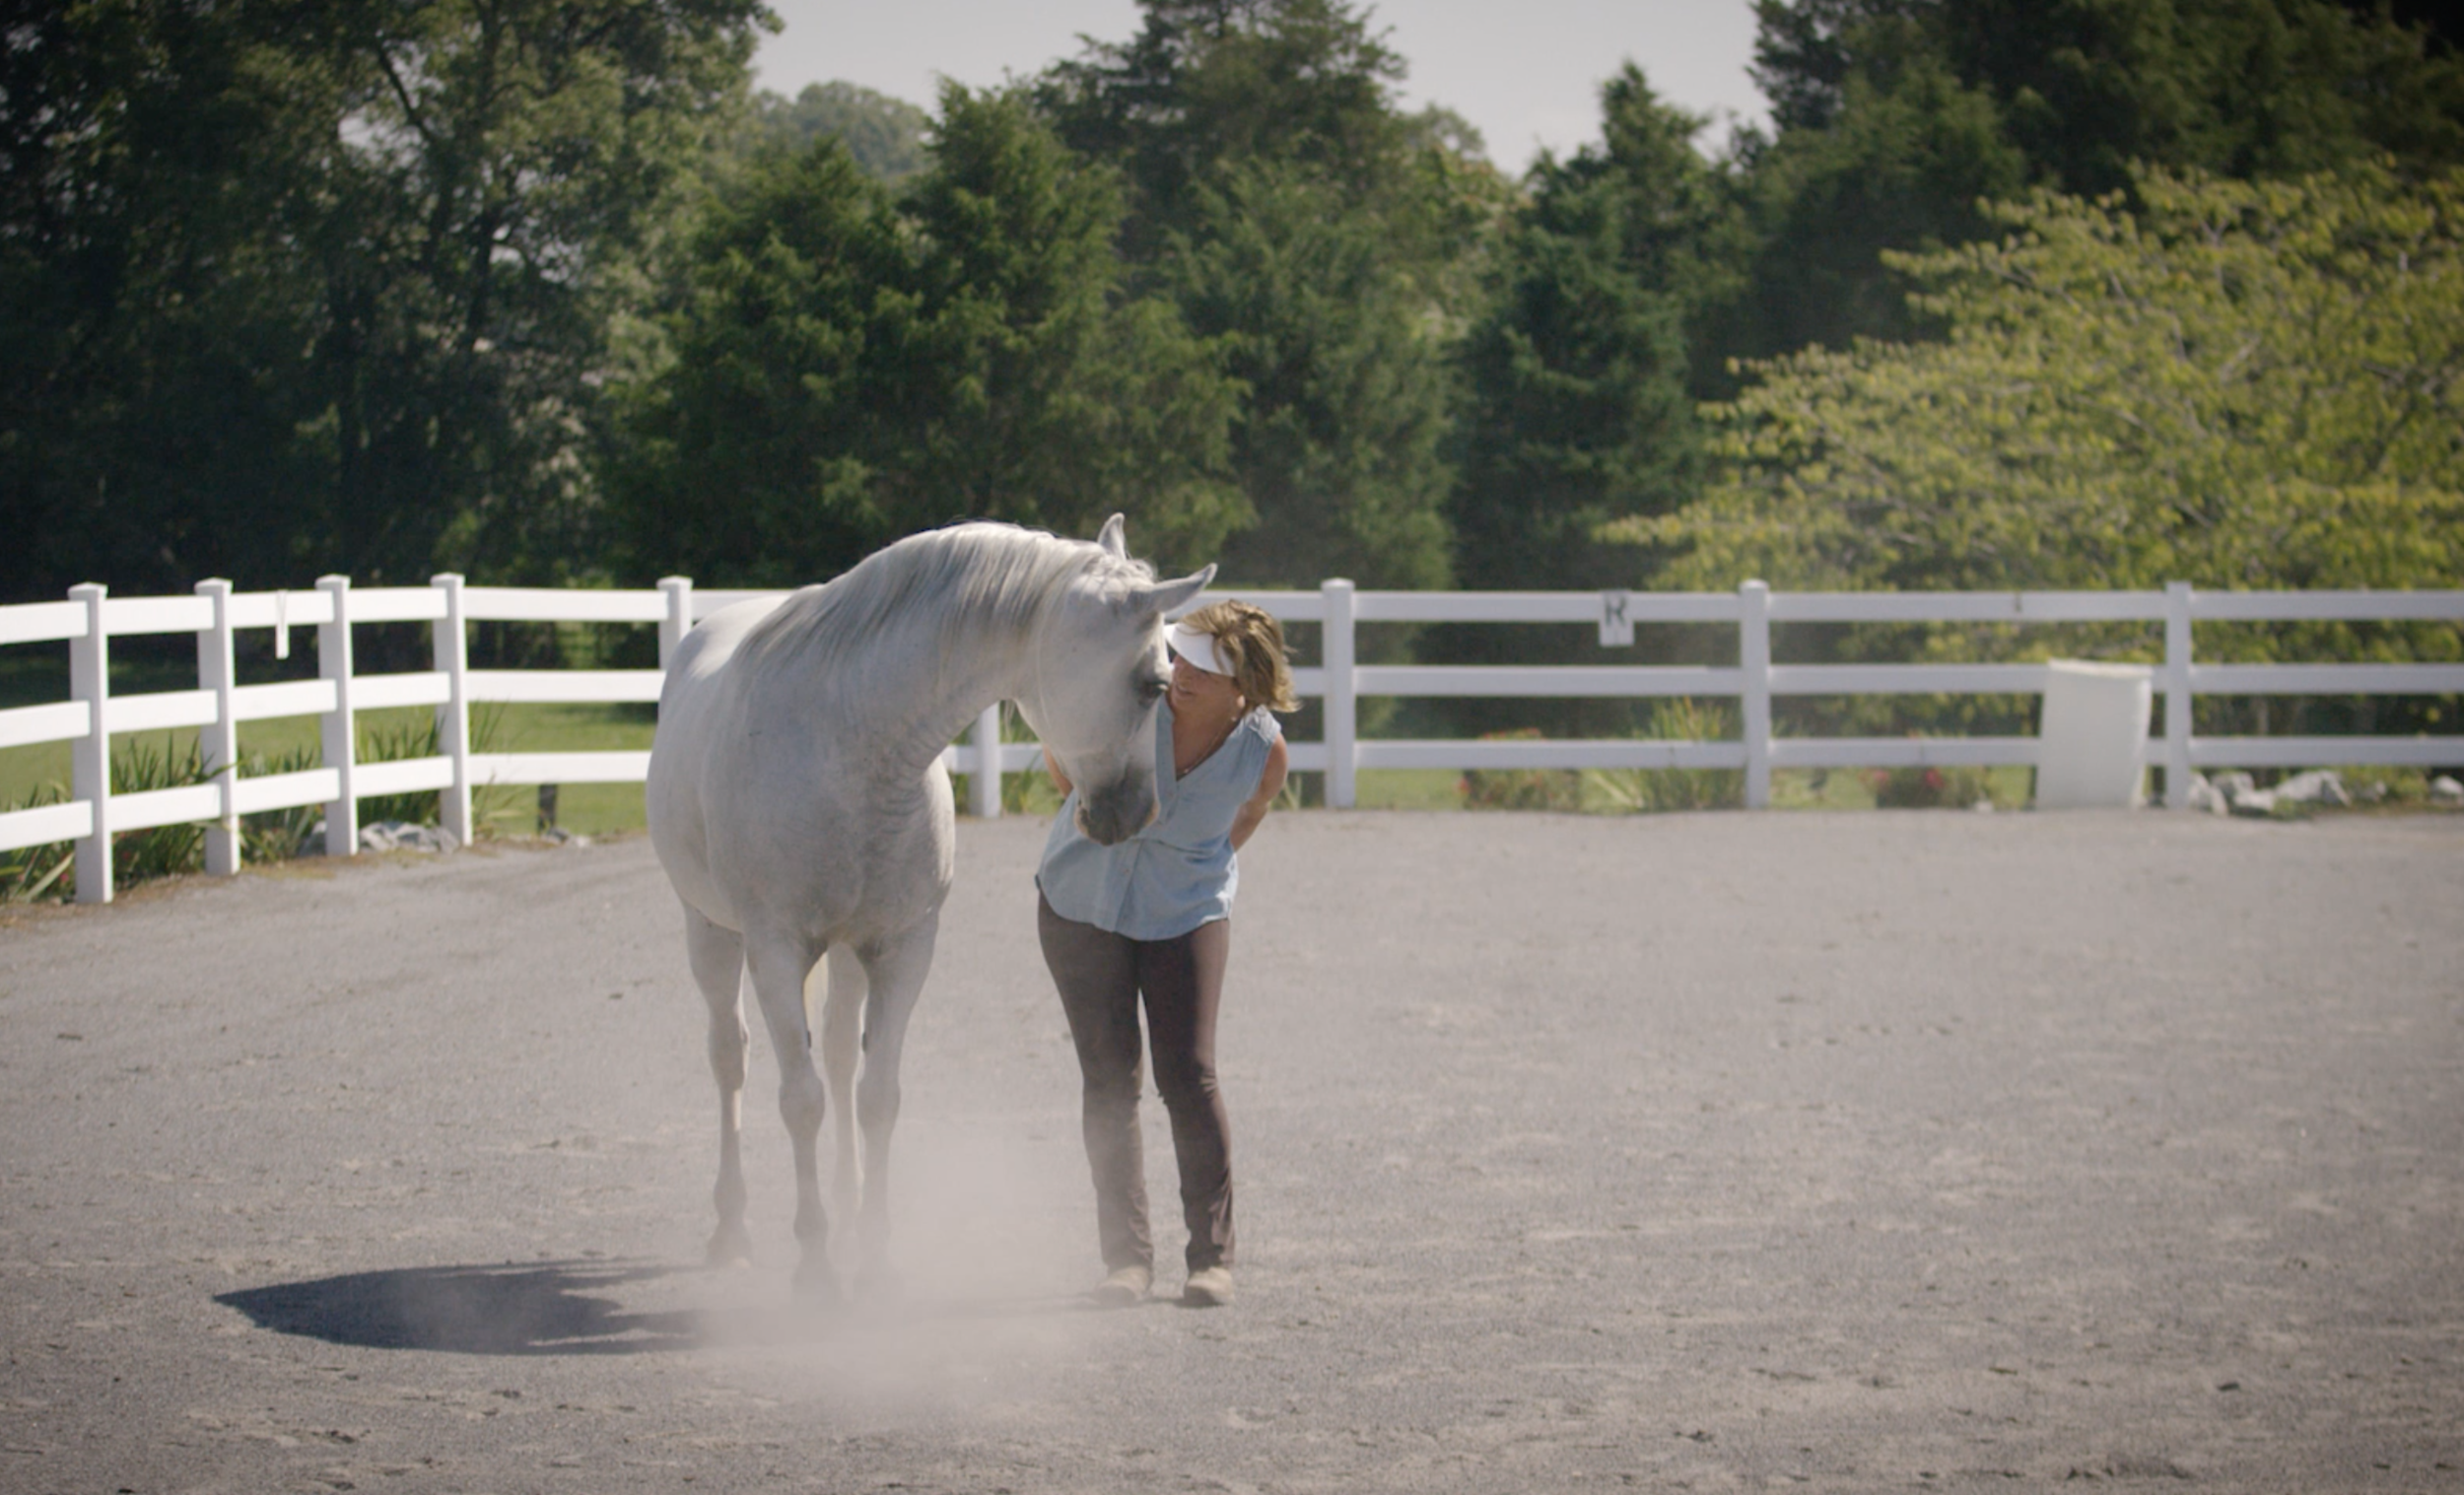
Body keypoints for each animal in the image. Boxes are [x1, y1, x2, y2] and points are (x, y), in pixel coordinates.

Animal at [645, 516, 1213, 1294]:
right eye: (1153, 683)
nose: (1135, 813)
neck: (851, 745)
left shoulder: (904, 946)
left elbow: (877, 1098)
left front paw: (875, 1256)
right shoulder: (775, 950)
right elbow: (800, 1101)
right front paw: (815, 1265)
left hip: (848, 952)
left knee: (840, 1061)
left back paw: (847, 1204)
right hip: (709, 932)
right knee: (731, 1059)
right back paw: (731, 1231)